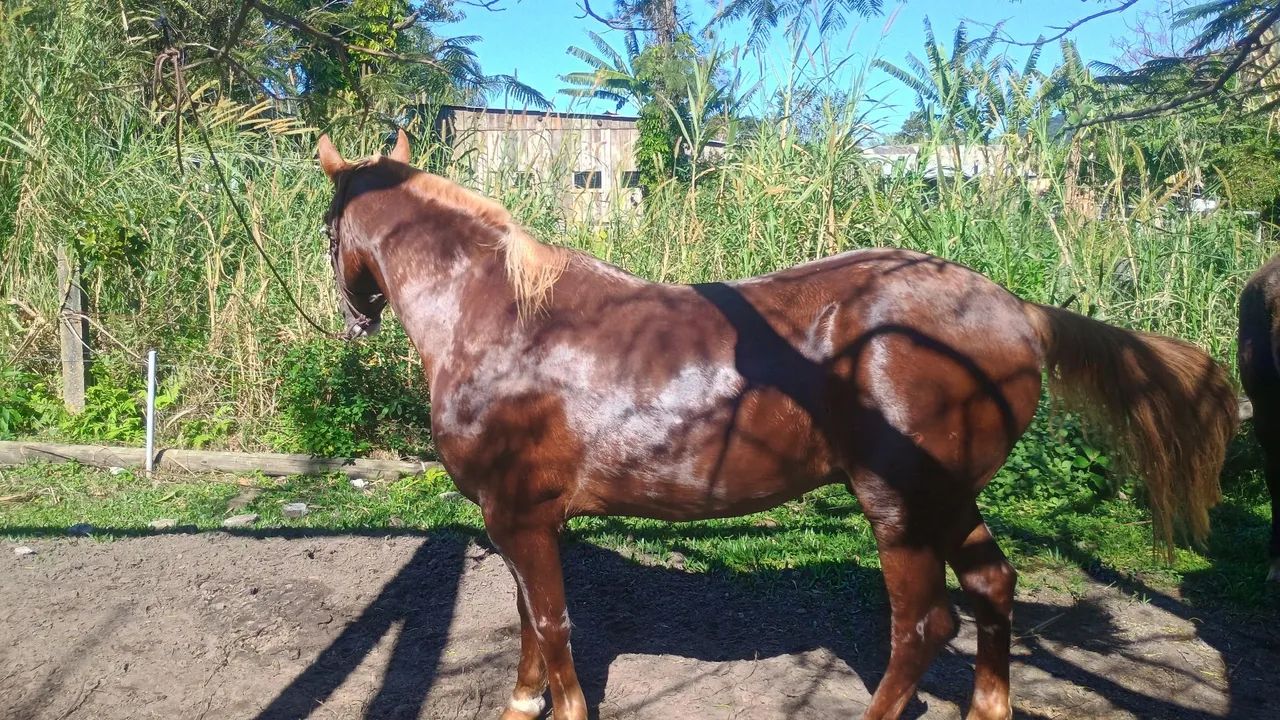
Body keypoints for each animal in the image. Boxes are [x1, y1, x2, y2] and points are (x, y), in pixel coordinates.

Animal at [317, 130, 1237, 720]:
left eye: (328, 227)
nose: (353, 317)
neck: (501, 319)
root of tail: (1015, 311)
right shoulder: (521, 519)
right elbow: (526, 625)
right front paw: (519, 703)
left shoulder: (520, 517)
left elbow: (550, 624)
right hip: (951, 502)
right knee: (992, 589)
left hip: (901, 507)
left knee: (924, 624)